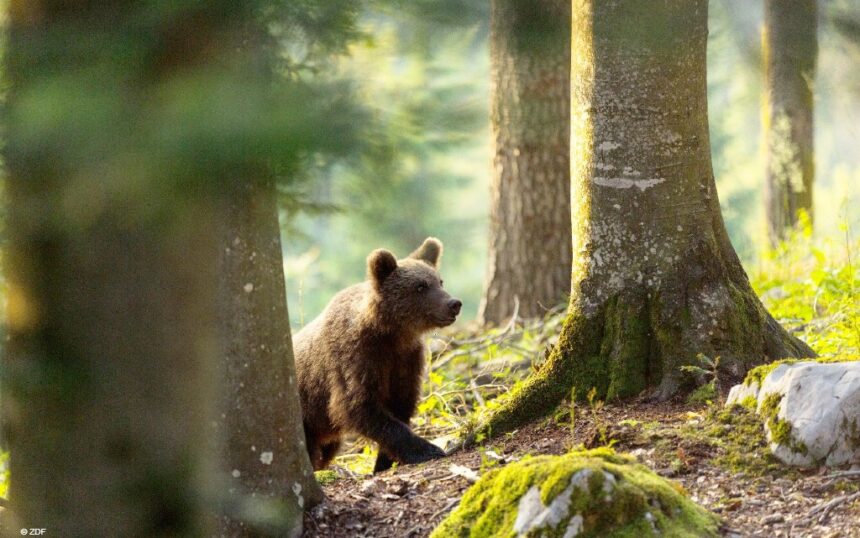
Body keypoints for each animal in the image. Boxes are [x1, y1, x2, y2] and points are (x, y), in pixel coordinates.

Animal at [292, 237, 460, 472]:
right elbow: (359, 406)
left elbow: (401, 404)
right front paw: (427, 449)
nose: (454, 304)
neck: (392, 333)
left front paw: (384, 462)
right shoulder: (356, 357)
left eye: (440, 281)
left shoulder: (406, 360)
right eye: (420, 286)